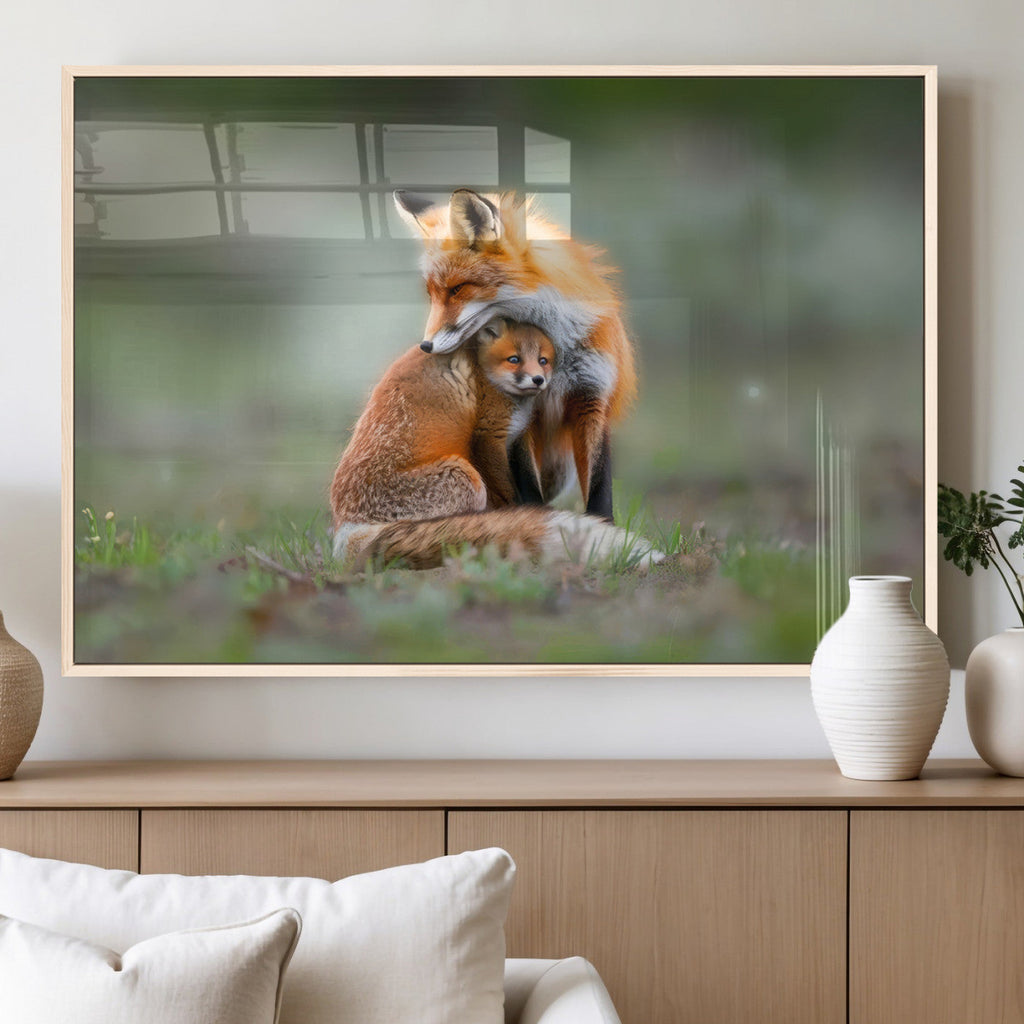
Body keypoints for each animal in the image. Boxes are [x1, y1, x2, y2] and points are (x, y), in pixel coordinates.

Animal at [394, 188, 638, 523]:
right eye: (431, 294)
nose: (425, 346)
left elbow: (600, 487)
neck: (556, 350)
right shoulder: (521, 413)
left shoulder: (592, 398)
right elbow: (527, 486)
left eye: (457, 289)